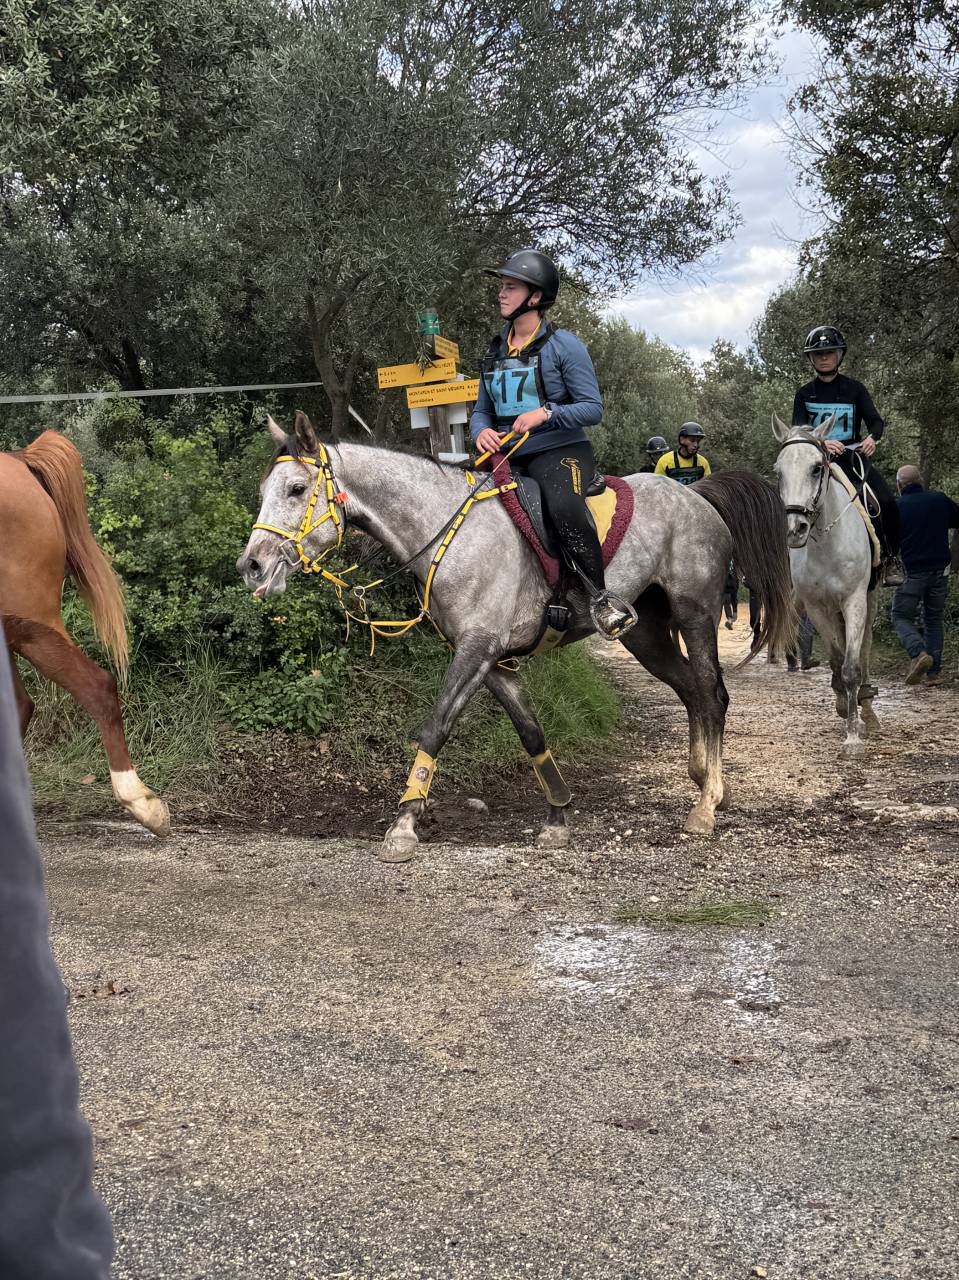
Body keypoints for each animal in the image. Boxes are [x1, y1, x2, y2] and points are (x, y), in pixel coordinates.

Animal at [238, 412, 795, 862]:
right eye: (264, 490)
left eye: (295, 489)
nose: (252, 566)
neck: (451, 534)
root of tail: (696, 496)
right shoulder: (495, 663)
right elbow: (531, 734)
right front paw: (558, 818)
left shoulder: (476, 651)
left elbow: (435, 728)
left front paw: (403, 826)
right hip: (648, 636)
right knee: (690, 690)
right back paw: (706, 781)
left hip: (695, 614)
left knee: (712, 693)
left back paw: (706, 807)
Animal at [772, 414, 881, 755]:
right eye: (778, 471)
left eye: (817, 467)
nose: (795, 528)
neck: (827, 543)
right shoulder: (816, 607)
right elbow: (836, 661)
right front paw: (844, 709)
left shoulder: (855, 601)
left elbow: (851, 666)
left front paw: (854, 736)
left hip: (870, 599)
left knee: (865, 649)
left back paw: (867, 709)